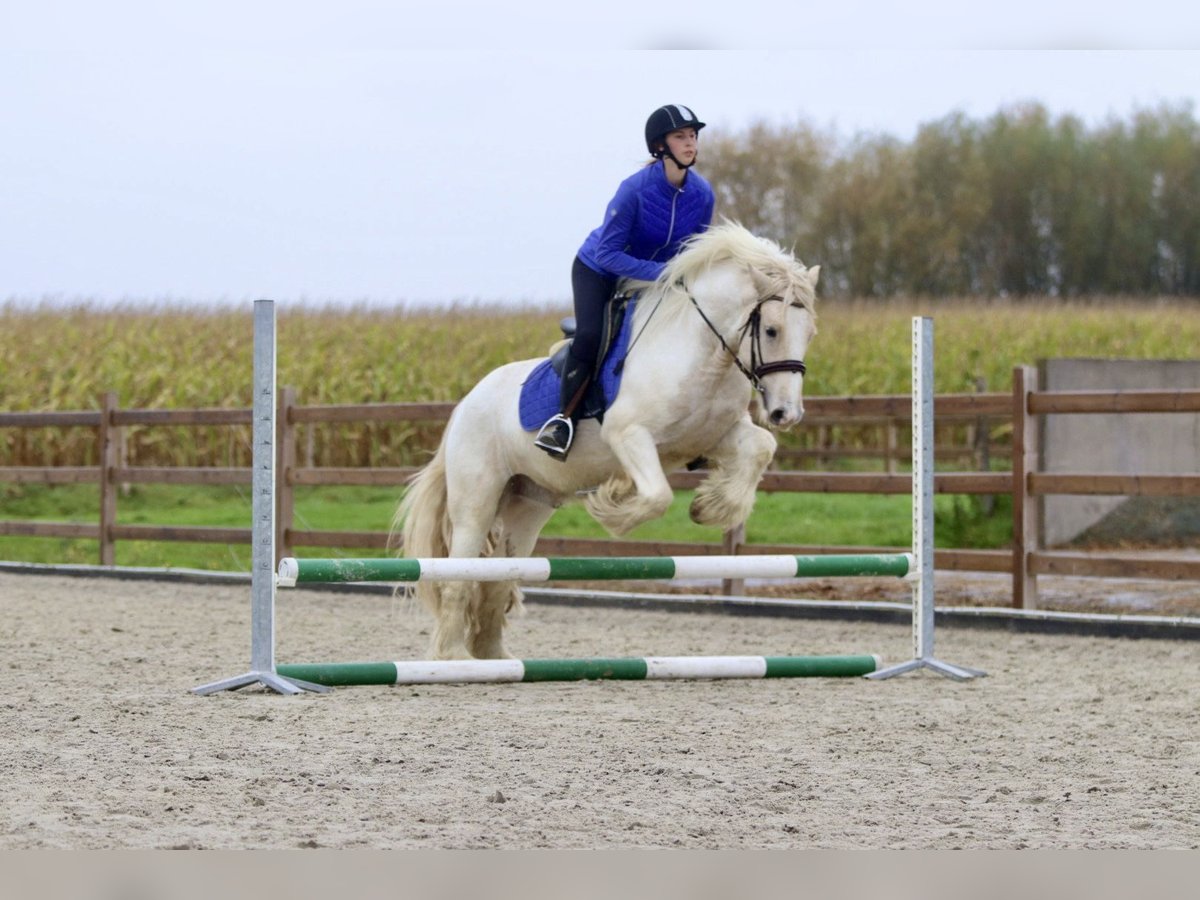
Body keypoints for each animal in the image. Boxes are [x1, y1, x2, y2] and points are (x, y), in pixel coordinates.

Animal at [388, 224, 820, 662]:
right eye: (771, 330)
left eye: (810, 333)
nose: (786, 413)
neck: (702, 353)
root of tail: (465, 403)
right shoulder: (628, 434)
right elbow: (657, 496)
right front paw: (613, 505)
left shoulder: (717, 435)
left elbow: (762, 447)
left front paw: (709, 507)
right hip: (476, 500)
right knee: (459, 574)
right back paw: (450, 656)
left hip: (529, 503)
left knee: (499, 576)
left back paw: (495, 657)